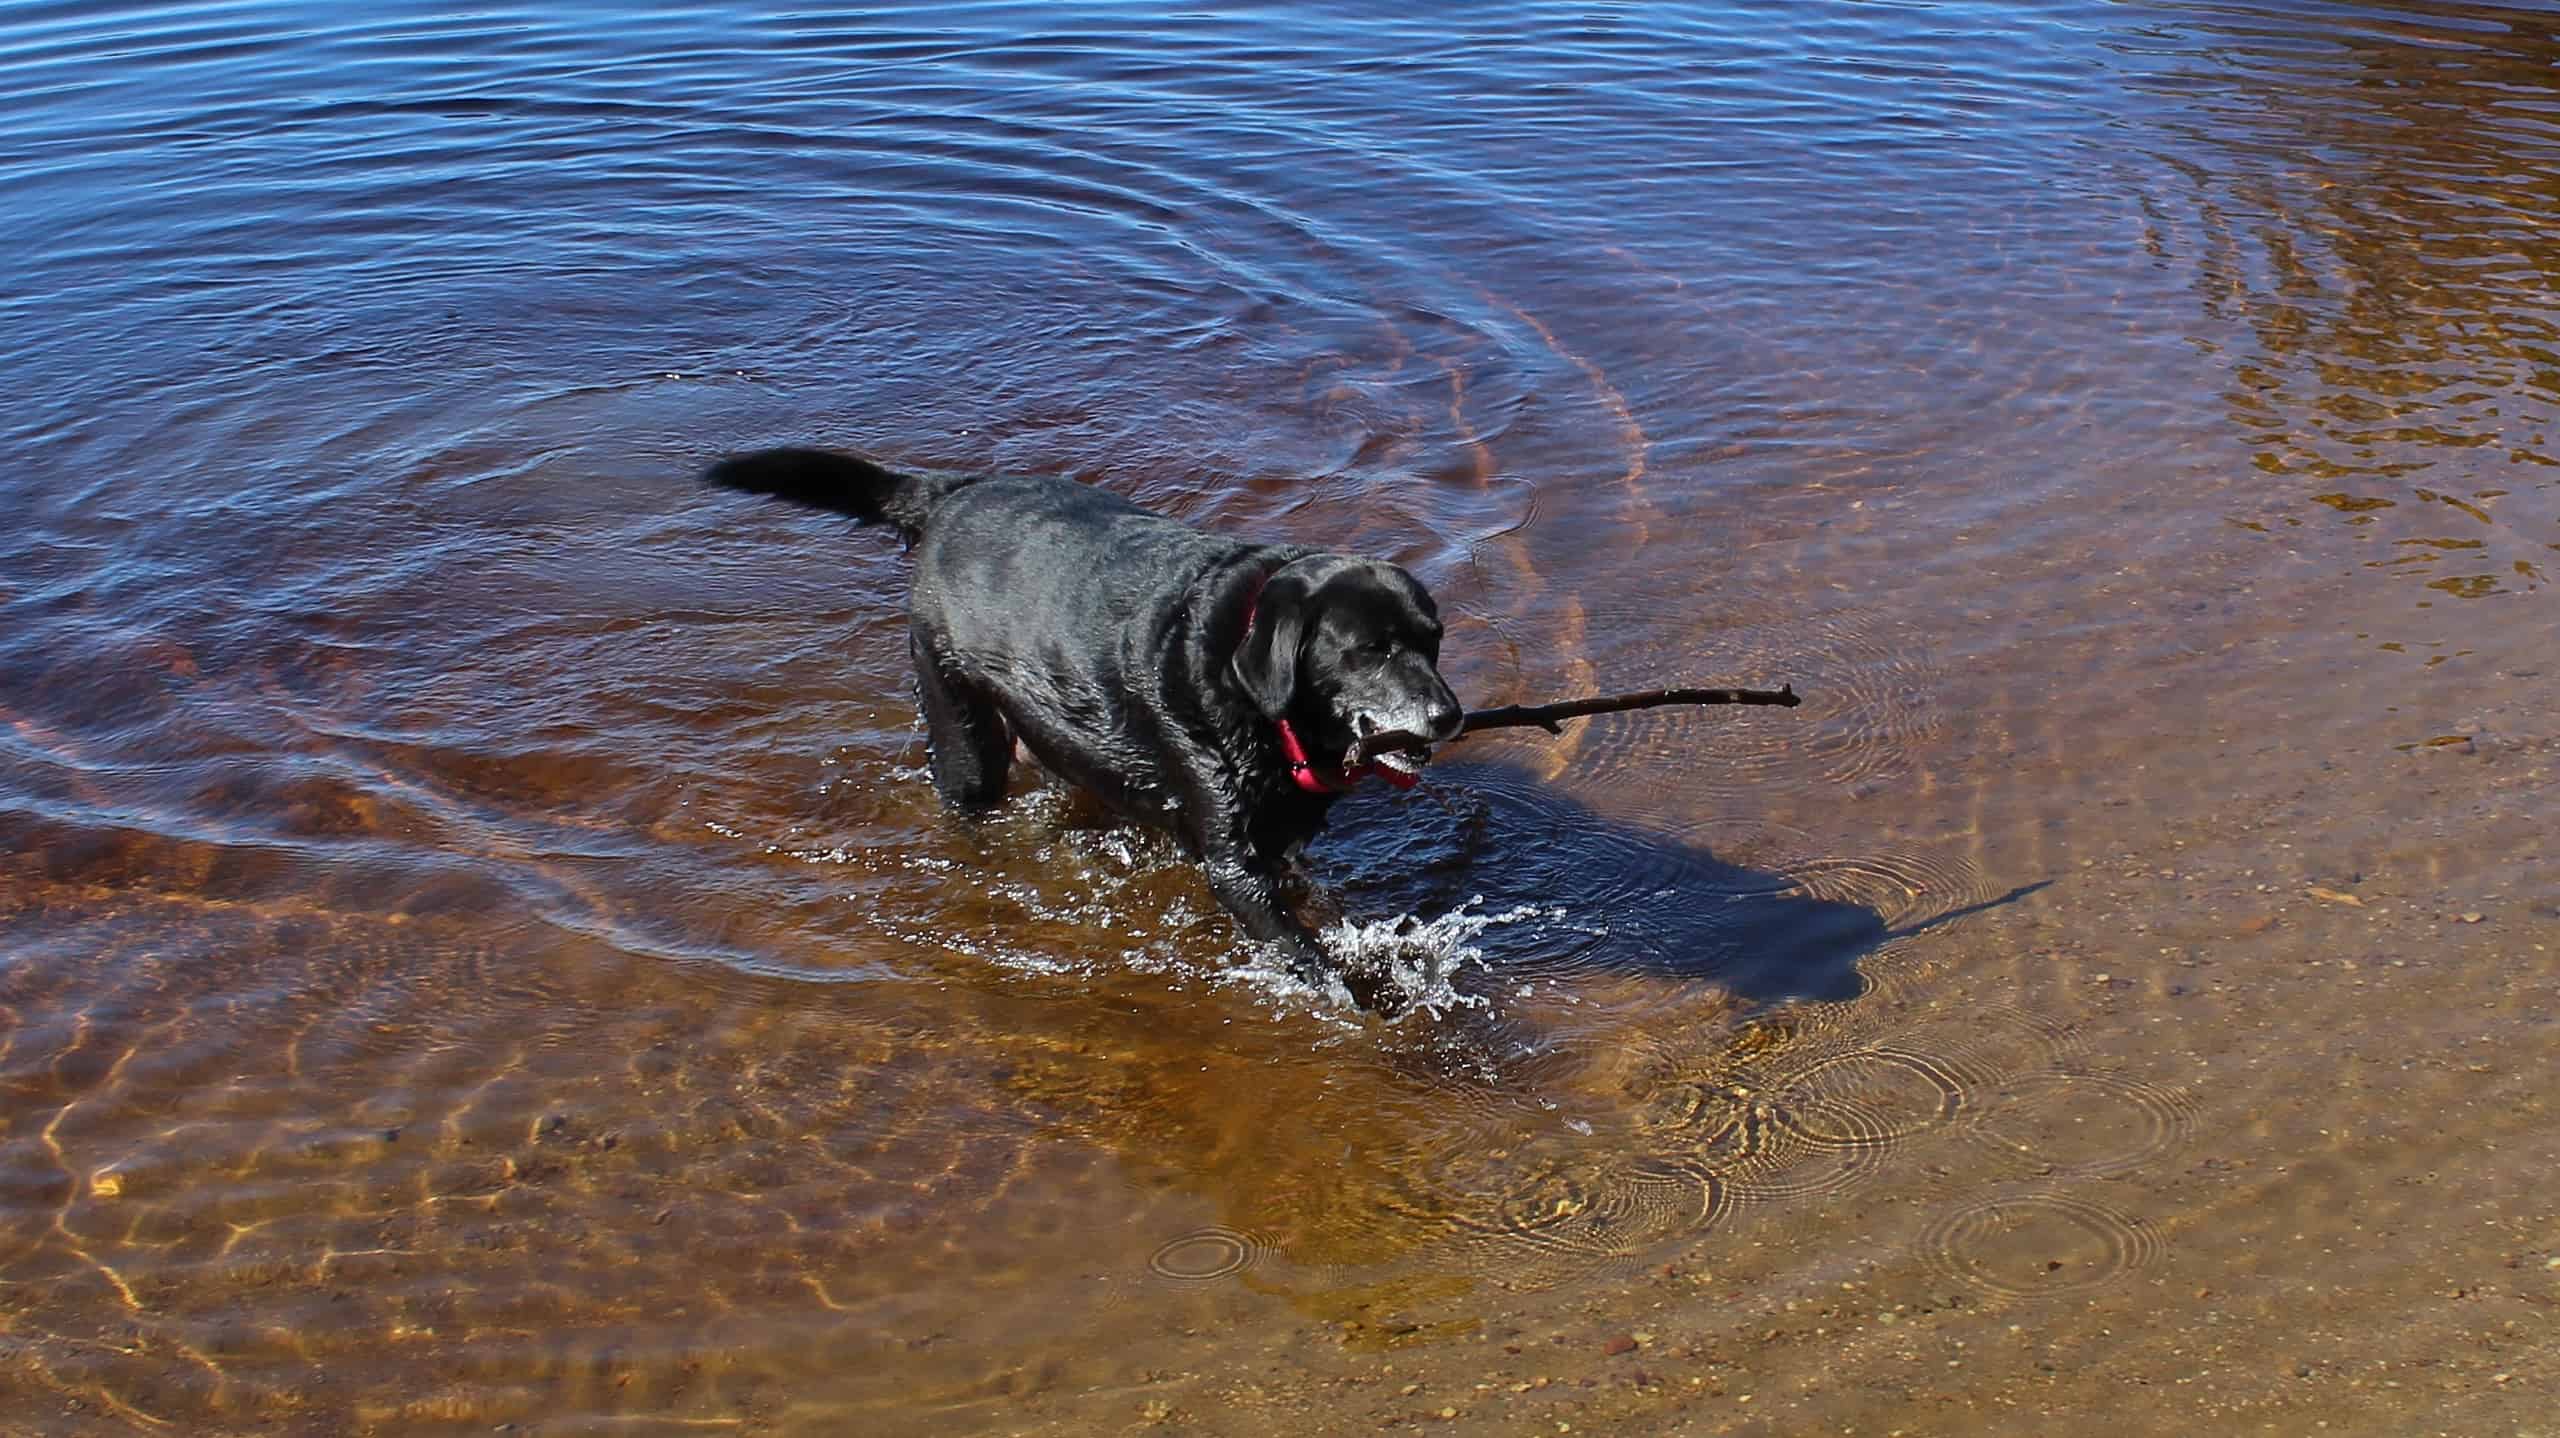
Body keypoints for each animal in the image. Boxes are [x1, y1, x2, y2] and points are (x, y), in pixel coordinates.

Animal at [701, 450, 1464, 1008]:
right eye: (1369, 650)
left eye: (1432, 641)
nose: (1449, 715)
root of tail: (949, 494)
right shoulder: (1233, 860)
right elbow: (1298, 947)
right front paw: (1352, 999)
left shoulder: (1279, 842)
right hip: (962, 730)